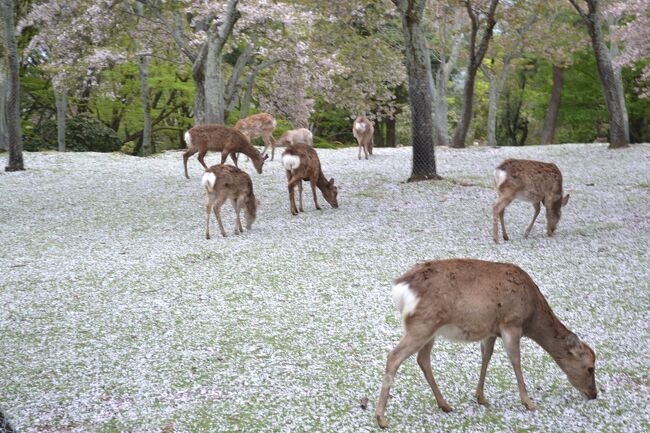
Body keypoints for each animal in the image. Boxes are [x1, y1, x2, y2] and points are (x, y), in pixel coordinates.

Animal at [374, 258, 596, 426]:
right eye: (590, 368)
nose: (593, 394)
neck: (531, 316)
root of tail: (400, 287)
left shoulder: (491, 330)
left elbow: (486, 357)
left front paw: (480, 397)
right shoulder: (511, 323)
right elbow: (516, 360)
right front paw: (528, 402)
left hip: (430, 330)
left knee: (423, 359)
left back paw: (444, 404)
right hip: (421, 325)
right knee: (394, 356)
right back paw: (381, 418)